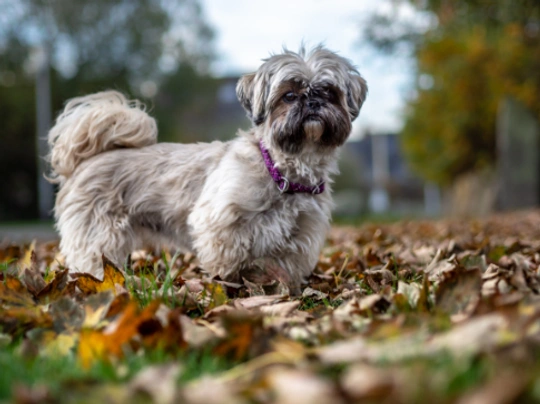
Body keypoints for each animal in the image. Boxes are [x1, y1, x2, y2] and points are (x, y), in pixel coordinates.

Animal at [47, 45, 368, 292]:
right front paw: (231, 289)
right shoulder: (219, 224)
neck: (282, 171)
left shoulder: (298, 239)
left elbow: (281, 271)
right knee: (91, 262)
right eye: (288, 96)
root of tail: (89, 159)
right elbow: (228, 264)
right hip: (99, 236)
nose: (313, 102)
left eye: (329, 93)